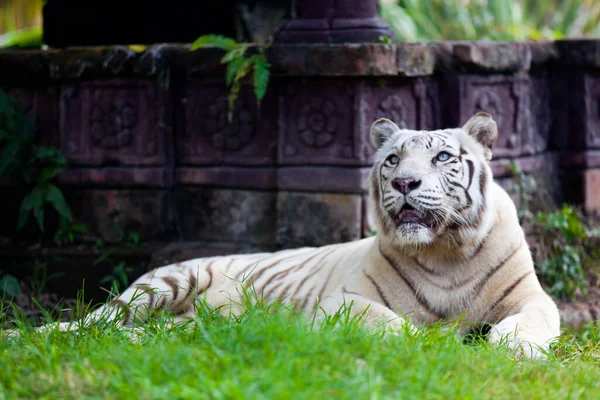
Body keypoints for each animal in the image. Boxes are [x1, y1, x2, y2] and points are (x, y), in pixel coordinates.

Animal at [4, 111, 560, 360]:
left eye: (443, 157)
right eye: (393, 160)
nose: (405, 183)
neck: (445, 251)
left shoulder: (533, 297)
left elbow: (536, 319)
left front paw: (513, 346)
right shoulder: (344, 301)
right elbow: (392, 324)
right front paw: (434, 342)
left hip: (180, 322)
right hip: (159, 286)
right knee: (88, 324)